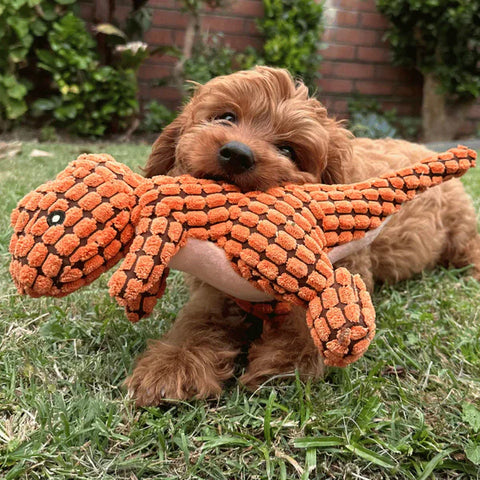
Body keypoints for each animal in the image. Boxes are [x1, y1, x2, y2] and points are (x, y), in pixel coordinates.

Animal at [124, 65, 480, 404]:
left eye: (287, 150)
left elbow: (314, 312)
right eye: (226, 117)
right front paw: (172, 365)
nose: (237, 153)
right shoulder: (215, 288)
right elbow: (197, 320)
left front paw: (286, 361)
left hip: (460, 224)